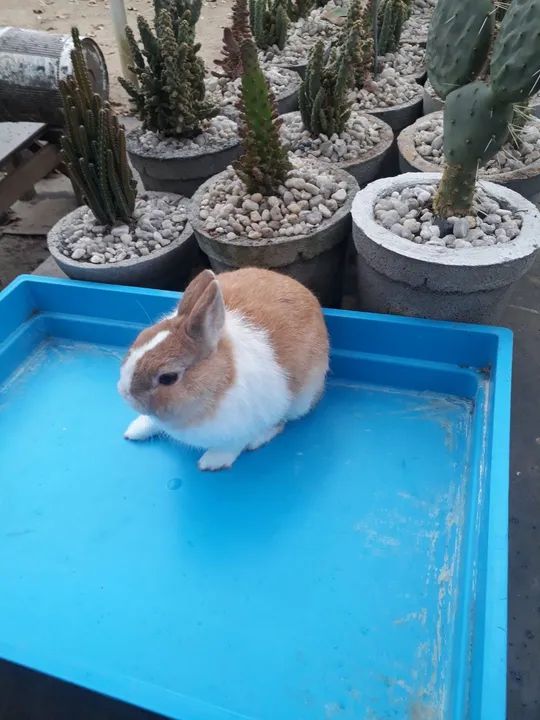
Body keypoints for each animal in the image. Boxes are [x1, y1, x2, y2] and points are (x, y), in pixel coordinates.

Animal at [117, 267, 329, 471]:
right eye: (140, 338)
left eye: (168, 378)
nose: (124, 393)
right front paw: (134, 430)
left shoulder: (246, 426)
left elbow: (233, 445)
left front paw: (212, 462)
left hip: (300, 401)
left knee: (281, 423)